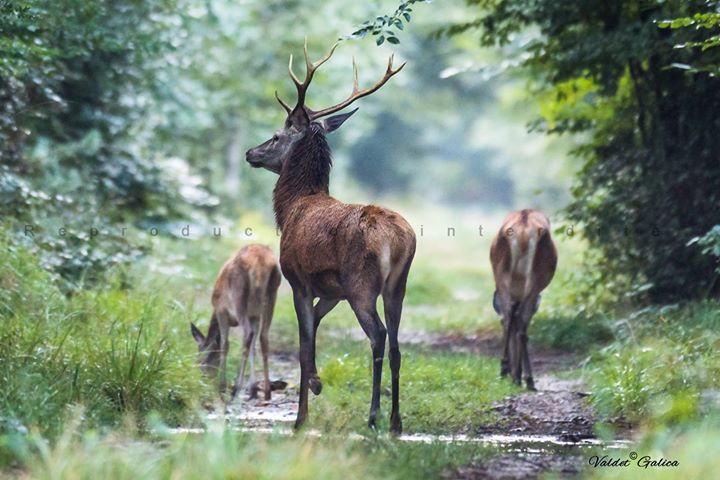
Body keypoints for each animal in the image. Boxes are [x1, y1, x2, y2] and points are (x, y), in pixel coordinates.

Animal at [191, 244, 282, 402]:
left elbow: (224, 345)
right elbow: (253, 348)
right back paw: (267, 392)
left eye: (199, 357)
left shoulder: (221, 311)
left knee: (248, 334)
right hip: (271, 297)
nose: (202, 378)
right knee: (263, 338)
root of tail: (261, 262)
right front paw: (253, 389)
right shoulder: (254, 316)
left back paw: (235, 389)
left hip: (238, 297)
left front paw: (222, 386)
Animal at [248, 39, 416, 434]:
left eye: (275, 136)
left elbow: (303, 343)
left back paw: (373, 417)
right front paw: (315, 382)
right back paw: (396, 421)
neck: (291, 207)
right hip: (397, 285)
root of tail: (399, 240)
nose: (250, 152)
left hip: (361, 284)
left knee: (378, 336)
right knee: (397, 344)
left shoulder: (298, 280)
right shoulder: (330, 292)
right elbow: (313, 335)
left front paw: (302, 412)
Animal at [490, 209, 556, 390]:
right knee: (521, 321)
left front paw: (514, 372)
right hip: (536, 277)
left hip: (501, 275)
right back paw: (525, 377)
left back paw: (506, 369)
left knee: (508, 317)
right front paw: (520, 375)